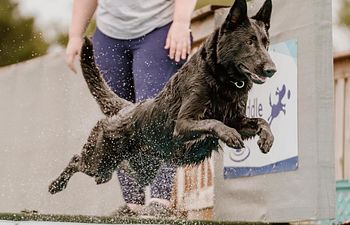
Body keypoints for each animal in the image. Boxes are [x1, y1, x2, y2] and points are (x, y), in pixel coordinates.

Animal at [48, 0, 276, 194]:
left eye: (266, 43)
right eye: (249, 42)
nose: (272, 69)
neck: (220, 78)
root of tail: (126, 108)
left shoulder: (237, 119)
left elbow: (261, 121)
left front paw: (267, 138)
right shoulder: (184, 123)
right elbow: (214, 122)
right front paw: (229, 135)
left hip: (142, 169)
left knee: (119, 171)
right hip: (101, 158)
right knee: (77, 160)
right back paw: (56, 184)